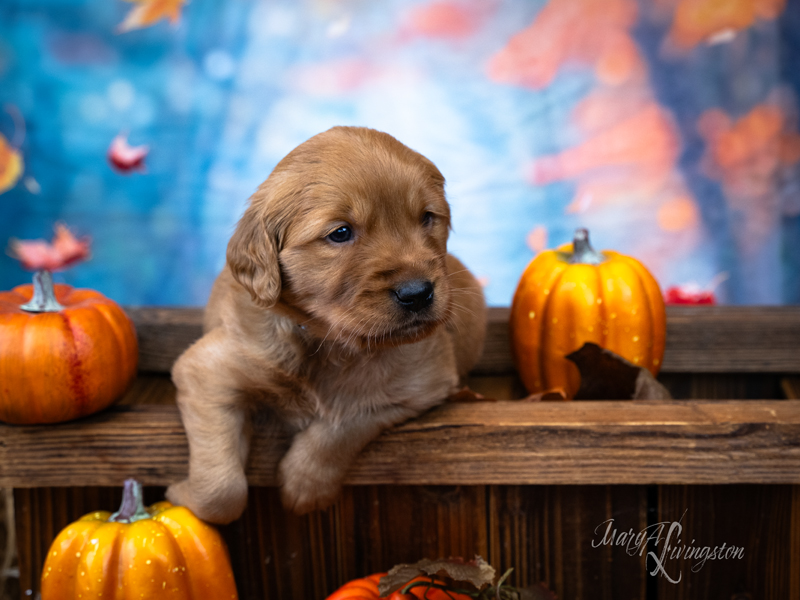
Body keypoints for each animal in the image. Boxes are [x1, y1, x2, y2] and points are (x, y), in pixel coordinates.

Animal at [169, 127, 488, 524]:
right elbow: (222, 491)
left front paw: (305, 486)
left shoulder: (422, 385)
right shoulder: (207, 373)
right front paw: (182, 494)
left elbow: (345, 422)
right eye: (340, 233)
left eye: (427, 217)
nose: (417, 294)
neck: (328, 341)